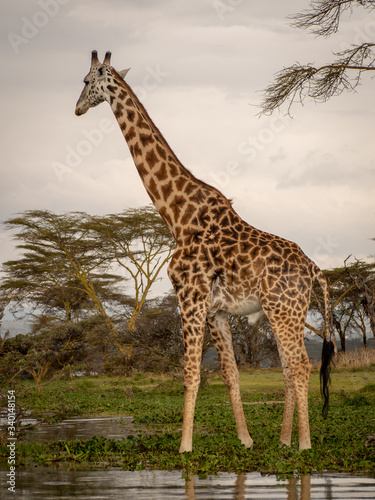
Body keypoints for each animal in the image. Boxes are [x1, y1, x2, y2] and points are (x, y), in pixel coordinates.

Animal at [75, 51, 334, 454]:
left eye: (87, 82)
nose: (77, 108)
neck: (177, 215)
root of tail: (314, 269)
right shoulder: (216, 310)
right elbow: (229, 374)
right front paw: (245, 439)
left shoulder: (190, 297)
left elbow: (191, 373)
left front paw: (184, 446)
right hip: (287, 312)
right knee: (289, 367)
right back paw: (283, 440)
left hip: (284, 309)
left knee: (301, 365)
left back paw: (303, 444)